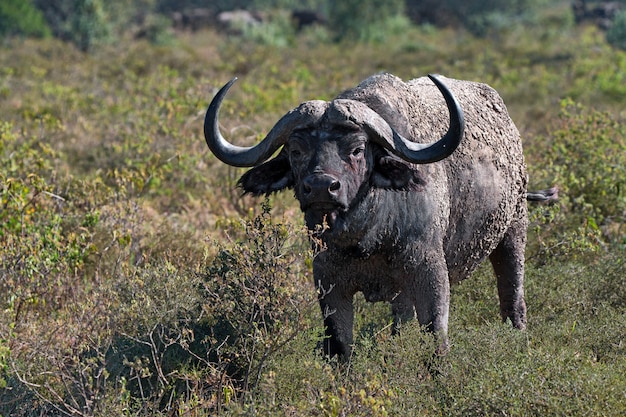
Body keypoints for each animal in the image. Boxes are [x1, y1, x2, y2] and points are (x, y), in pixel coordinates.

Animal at [202, 72, 552, 358]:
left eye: (357, 149)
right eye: (295, 151)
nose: (321, 187)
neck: (368, 236)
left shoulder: (430, 271)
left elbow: (435, 339)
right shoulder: (329, 282)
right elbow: (340, 346)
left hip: (513, 230)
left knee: (512, 297)